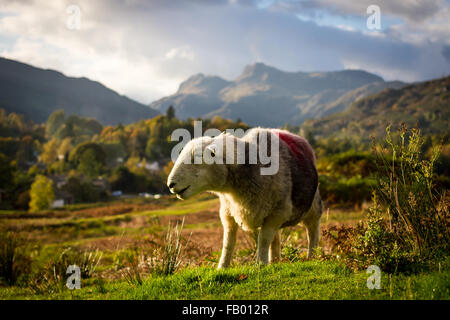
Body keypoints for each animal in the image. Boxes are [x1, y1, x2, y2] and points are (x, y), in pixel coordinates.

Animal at [167, 127, 322, 268]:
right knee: (276, 238)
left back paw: (312, 256)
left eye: (196, 160)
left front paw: (260, 264)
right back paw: (274, 261)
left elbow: (263, 240)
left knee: (312, 229)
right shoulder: (228, 212)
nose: (170, 184)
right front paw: (222, 267)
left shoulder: (277, 212)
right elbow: (228, 242)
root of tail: (290, 134)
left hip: (313, 205)